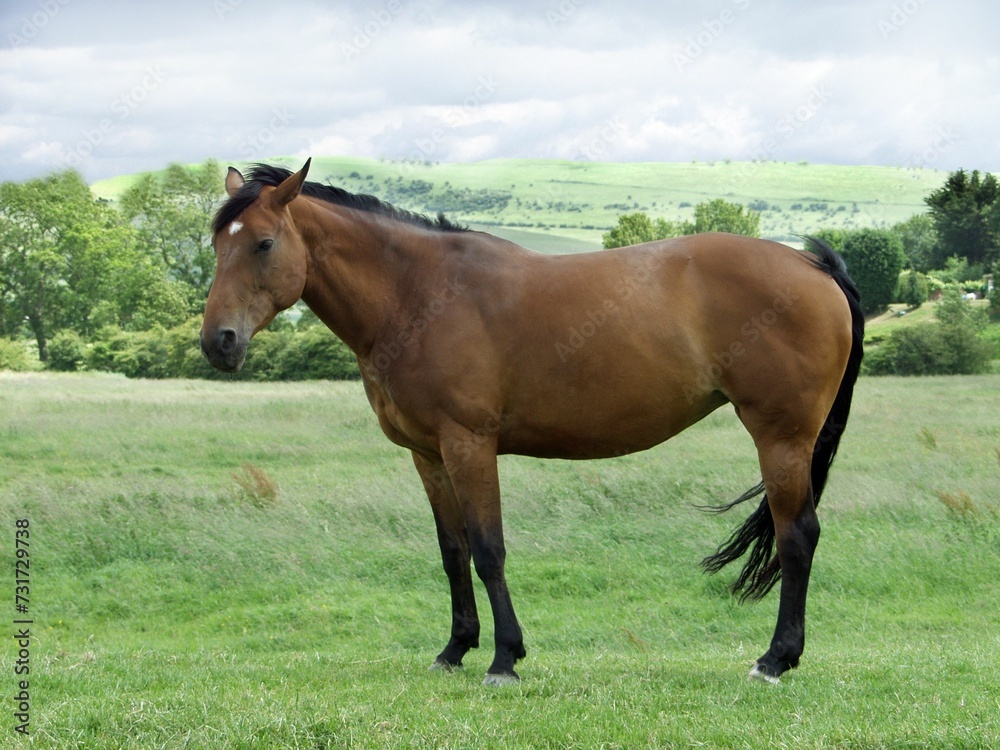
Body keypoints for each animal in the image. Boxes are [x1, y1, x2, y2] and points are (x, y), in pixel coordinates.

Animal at [201, 159, 860, 688]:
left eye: (263, 244)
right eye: (214, 247)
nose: (218, 342)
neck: (418, 295)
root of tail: (810, 263)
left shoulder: (469, 445)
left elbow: (488, 549)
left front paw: (503, 659)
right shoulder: (428, 454)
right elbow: (452, 551)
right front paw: (454, 650)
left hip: (781, 439)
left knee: (797, 536)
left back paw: (774, 660)